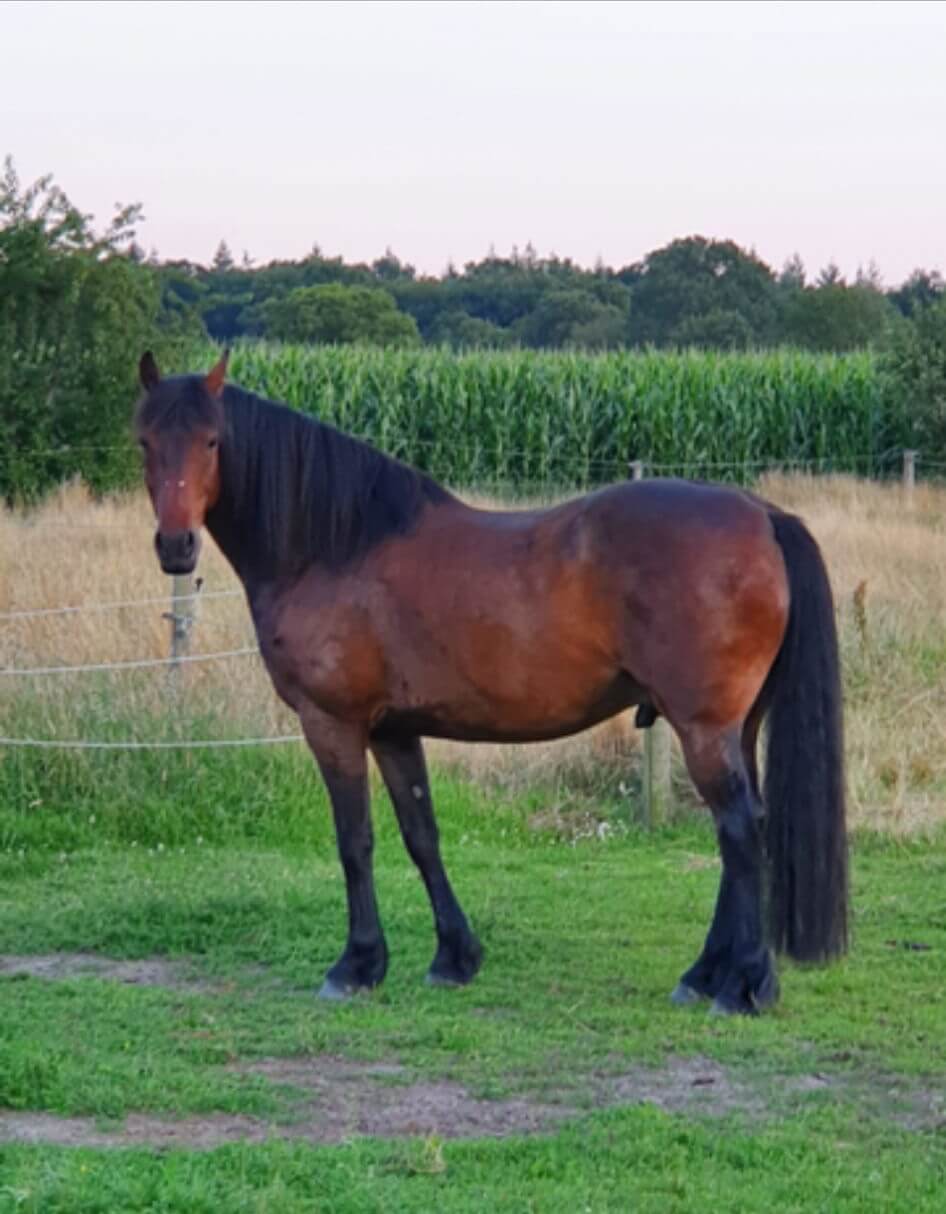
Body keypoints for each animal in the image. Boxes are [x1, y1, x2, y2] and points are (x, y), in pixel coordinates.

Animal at [134, 351, 847, 1015]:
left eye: (212, 440)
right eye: (144, 440)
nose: (175, 547)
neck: (336, 549)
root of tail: (761, 514)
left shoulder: (332, 724)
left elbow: (355, 841)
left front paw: (356, 965)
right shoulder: (393, 732)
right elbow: (420, 834)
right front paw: (454, 957)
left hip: (703, 729)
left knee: (741, 830)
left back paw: (744, 984)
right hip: (734, 727)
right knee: (737, 833)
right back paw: (704, 976)